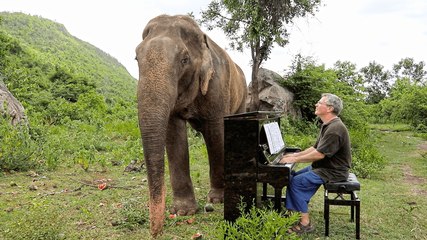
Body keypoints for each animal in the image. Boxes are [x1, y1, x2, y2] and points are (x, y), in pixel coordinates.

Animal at [135, 14, 249, 236]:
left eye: (184, 60)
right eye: (136, 58)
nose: (155, 232)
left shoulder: (217, 84)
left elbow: (216, 133)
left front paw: (218, 199)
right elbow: (174, 134)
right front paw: (183, 211)